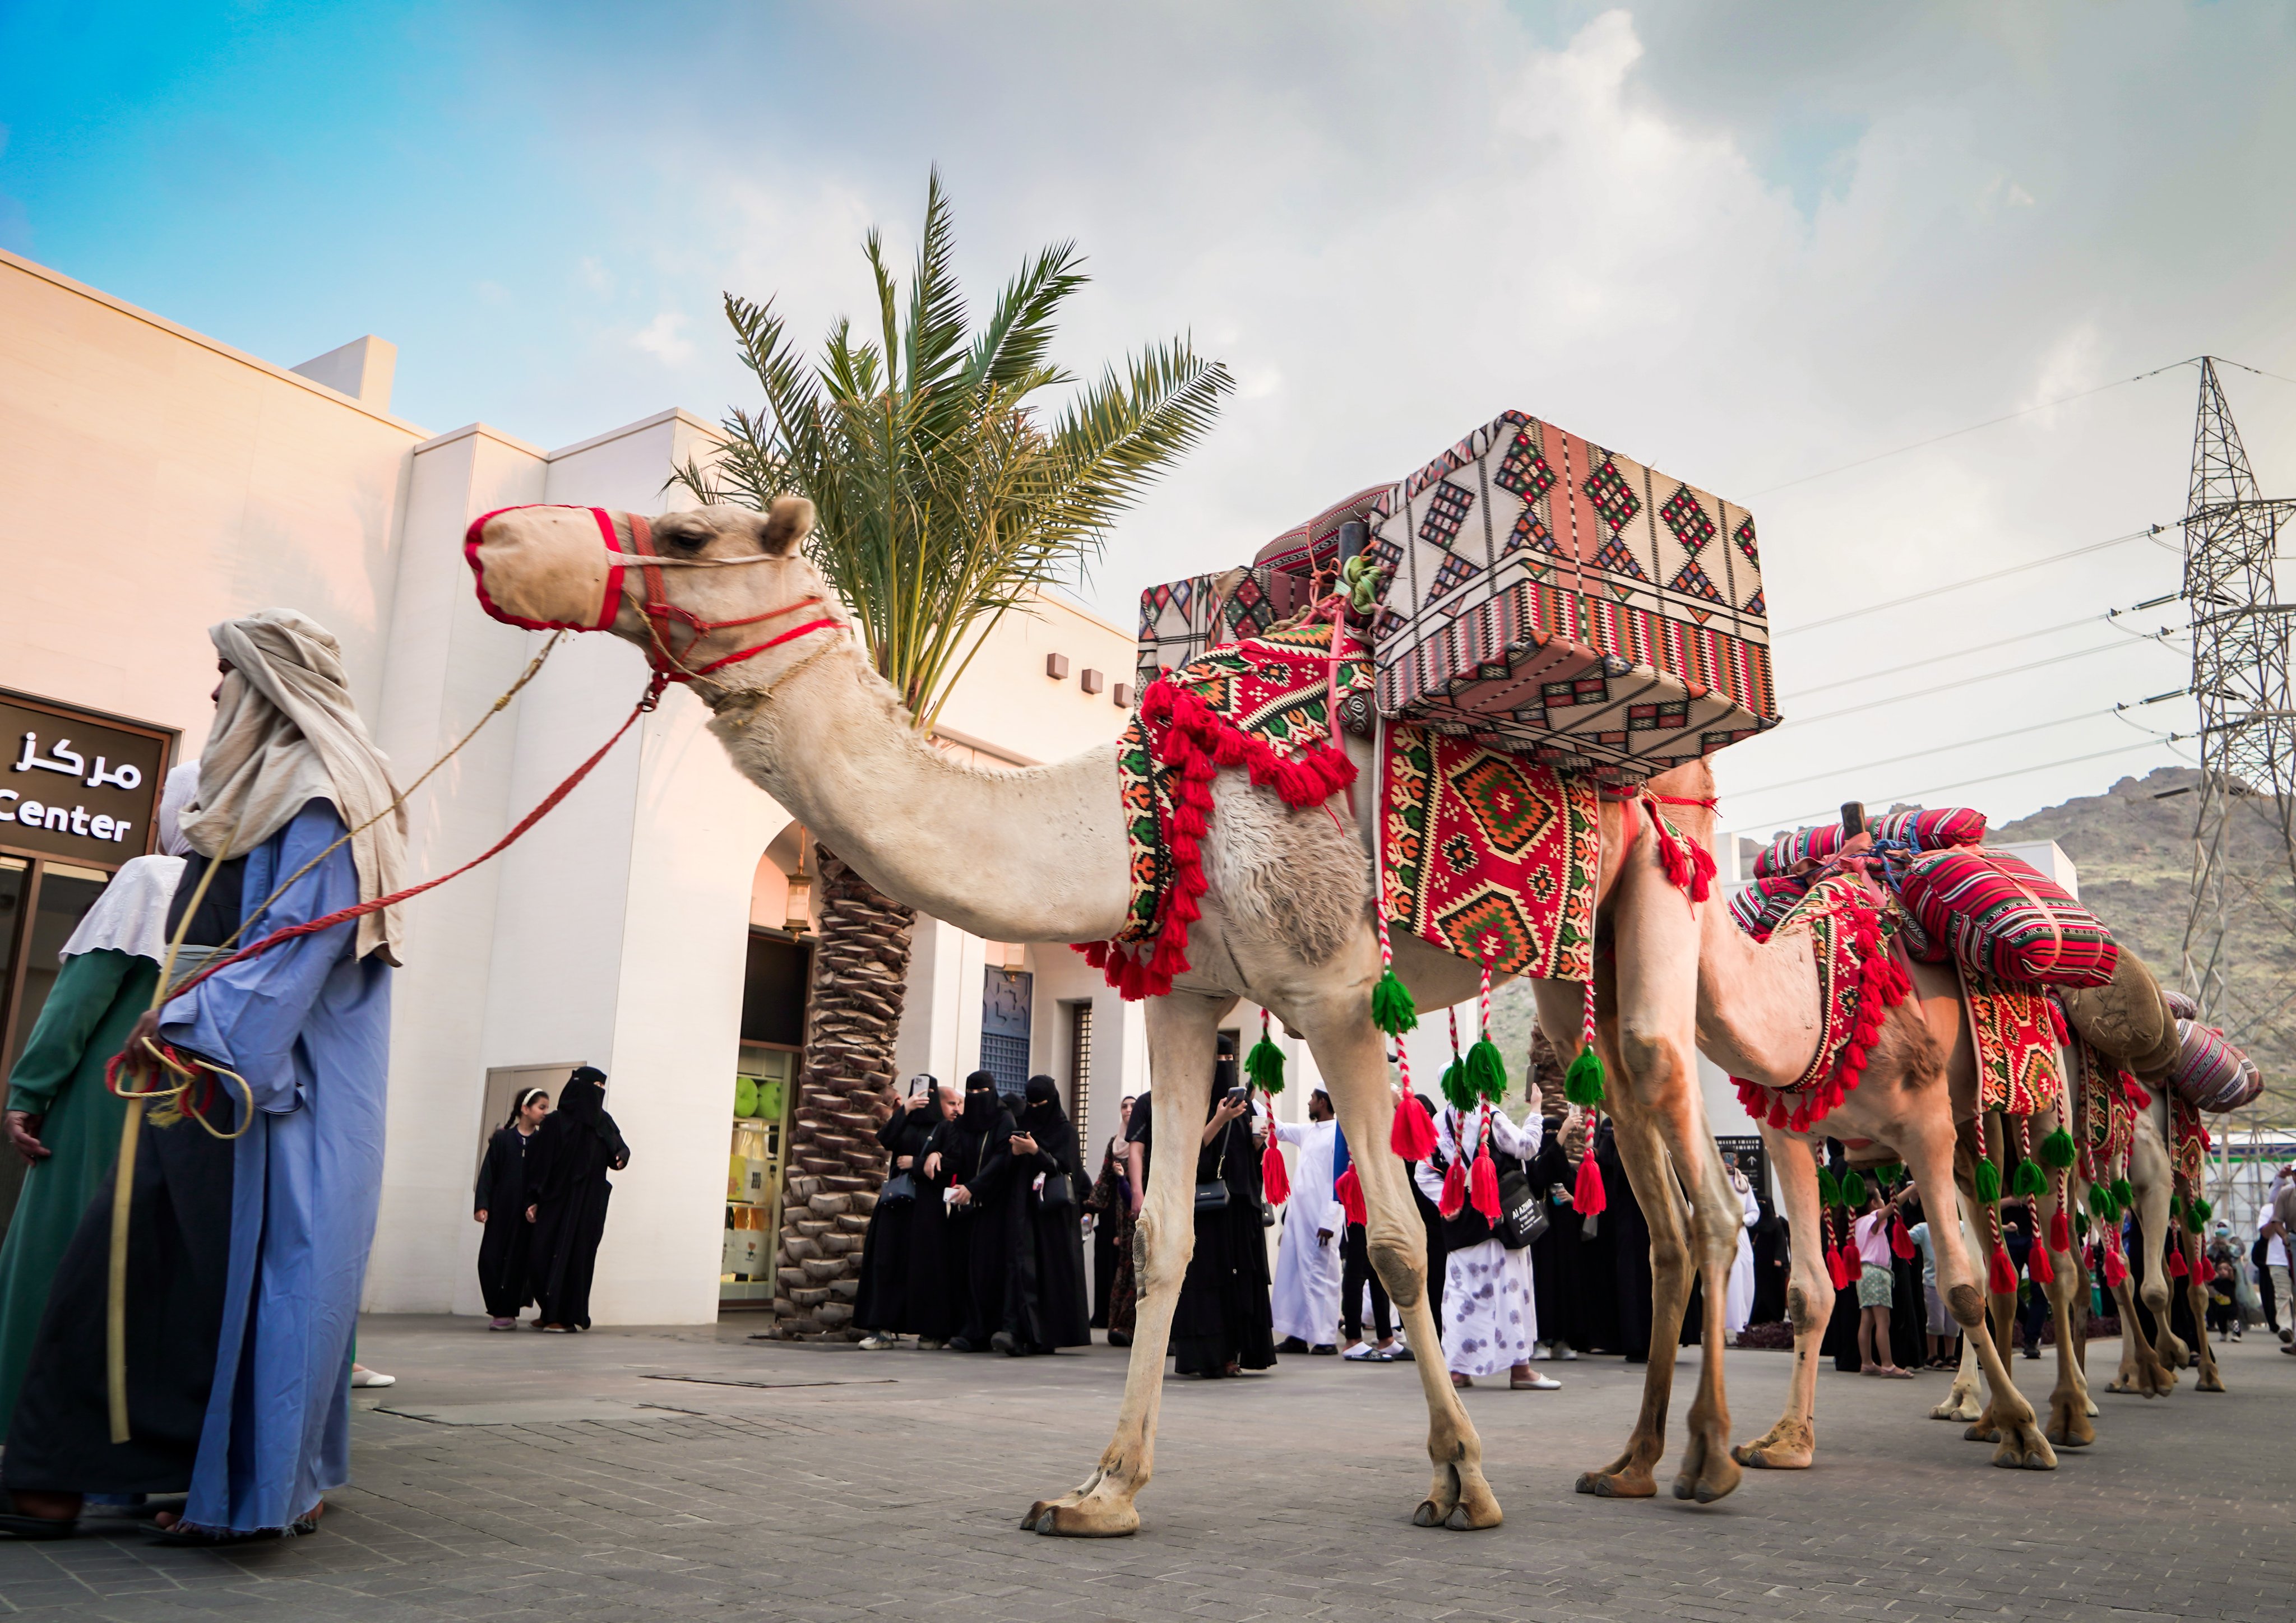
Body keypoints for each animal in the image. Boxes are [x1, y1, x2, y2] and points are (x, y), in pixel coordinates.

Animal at [461, 500, 1754, 1533]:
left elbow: (1394, 1238)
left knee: (1703, 1176)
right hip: (1573, 962)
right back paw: (1634, 1460)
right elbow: (1160, 1234)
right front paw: (1100, 1490)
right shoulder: (1183, 994)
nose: (498, 538)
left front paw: (1460, 1480)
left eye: (686, 534)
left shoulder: (1335, 990)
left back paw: (1712, 1461)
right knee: (1652, 1175)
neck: (1143, 810)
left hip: (1656, 879)